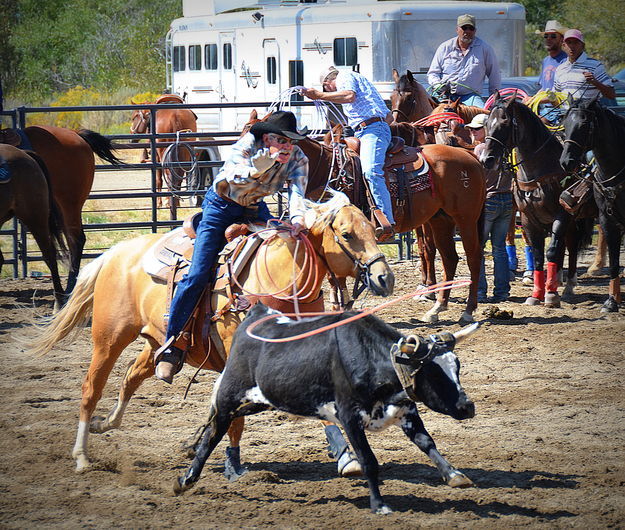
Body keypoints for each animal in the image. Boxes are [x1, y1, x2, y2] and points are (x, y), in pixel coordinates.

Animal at [28, 192, 394, 472]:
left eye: (374, 230)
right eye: (346, 234)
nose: (384, 278)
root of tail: (117, 253)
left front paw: (346, 456)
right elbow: (233, 415)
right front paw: (231, 461)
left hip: (157, 342)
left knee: (132, 376)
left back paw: (108, 423)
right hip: (108, 338)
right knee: (91, 389)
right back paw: (81, 456)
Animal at [480, 91, 592, 306]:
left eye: (505, 123)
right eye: (487, 123)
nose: (486, 160)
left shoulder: (562, 215)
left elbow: (551, 251)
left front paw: (551, 295)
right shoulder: (527, 218)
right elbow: (539, 254)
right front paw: (537, 294)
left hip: (573, 218)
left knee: (570, 244)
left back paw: (569, 285)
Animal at [560, 95, 624, 312]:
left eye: (585, 124)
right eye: (565, 123)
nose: (566, 162)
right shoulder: (607, 219)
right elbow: (614, 262)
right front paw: (611, 301)